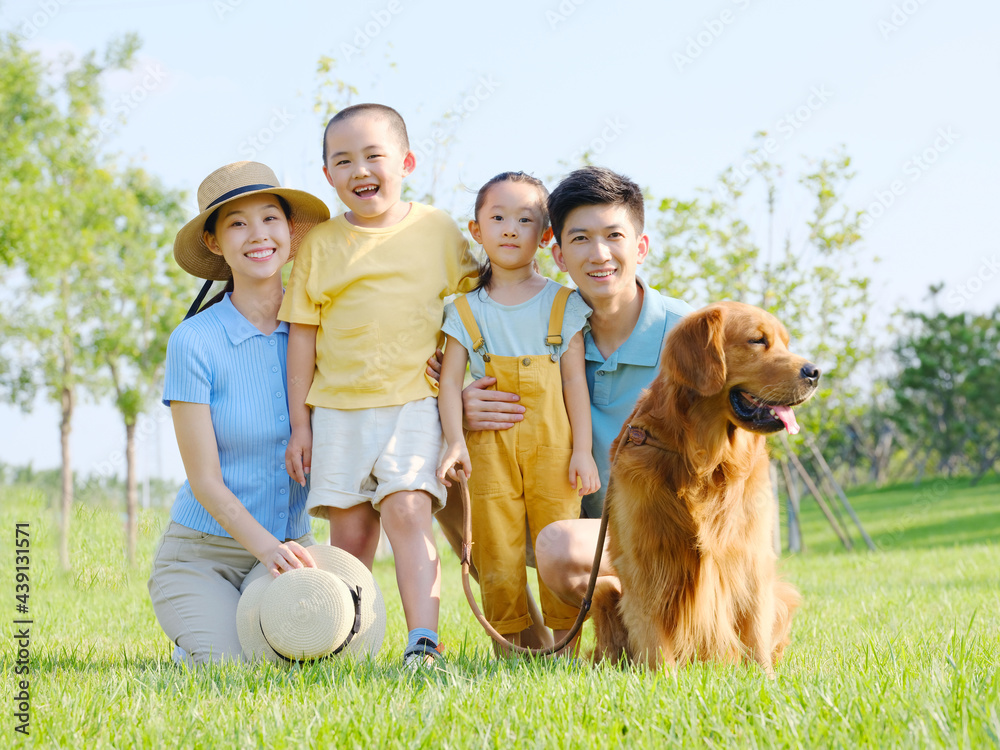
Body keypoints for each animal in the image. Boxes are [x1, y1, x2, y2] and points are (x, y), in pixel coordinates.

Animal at [588, 302, 816, 680]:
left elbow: (754, 630)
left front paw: (765, 680)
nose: (815, 372)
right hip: (604, 590)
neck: (707, 462)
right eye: (758, 340)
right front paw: (663, 682)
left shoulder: (752, 555)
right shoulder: (644, 559)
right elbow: (653, 636)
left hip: (782, 593)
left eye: (785, 342)